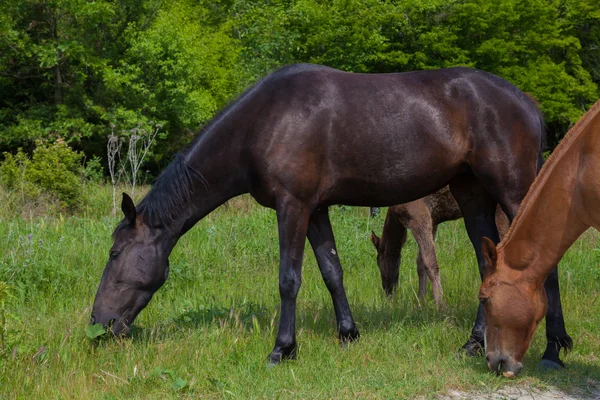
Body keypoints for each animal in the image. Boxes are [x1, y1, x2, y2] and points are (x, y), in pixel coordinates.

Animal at [368, 186, 508, 308]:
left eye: (378, 263)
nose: (387, 290)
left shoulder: (418, 218)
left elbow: (430, 263)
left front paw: (440, 306)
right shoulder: (432, 222)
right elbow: (420, 263)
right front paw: (421, 302)